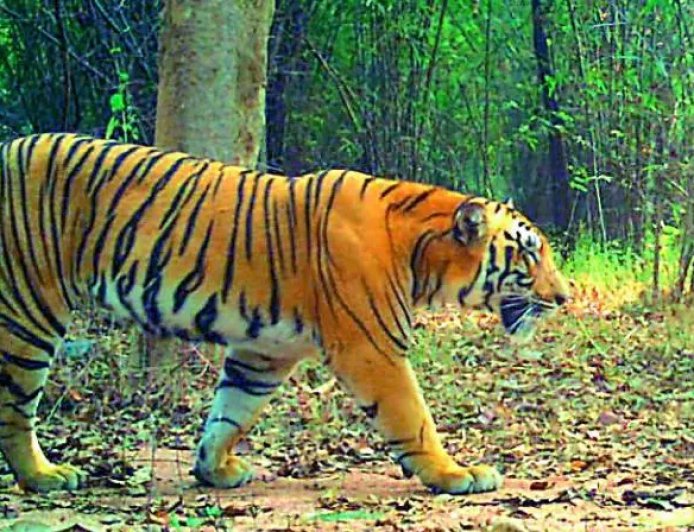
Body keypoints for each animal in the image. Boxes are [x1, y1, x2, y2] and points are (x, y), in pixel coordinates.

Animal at [0, 133, 570, 494]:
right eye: (530, 254)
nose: (565, 297)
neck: (421, 254)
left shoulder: (264, 351)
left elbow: (230, 413)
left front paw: (213, 469)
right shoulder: (372, 348)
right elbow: (414, 417)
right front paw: (455, 474)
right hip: (29, 307)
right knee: (15, 407)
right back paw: (43, 477)